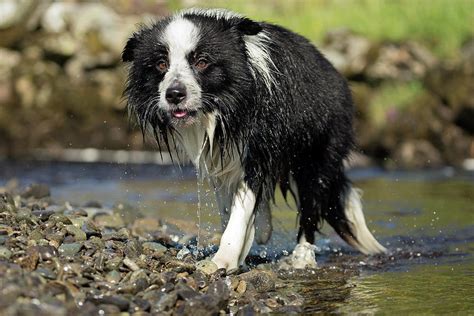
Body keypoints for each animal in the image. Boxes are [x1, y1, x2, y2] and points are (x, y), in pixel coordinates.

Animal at [122, 8, 386, 272]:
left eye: (202, 62)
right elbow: (229, 207)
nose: (174, 94)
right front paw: (238, 249)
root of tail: (338, 77)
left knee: (311, 203)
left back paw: (301, 257)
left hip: (316, 153)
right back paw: (263, 230)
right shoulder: (219, 157)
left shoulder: (257, 150)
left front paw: (223, 260)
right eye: (161, 64)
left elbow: (241, 210)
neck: (221, 109)